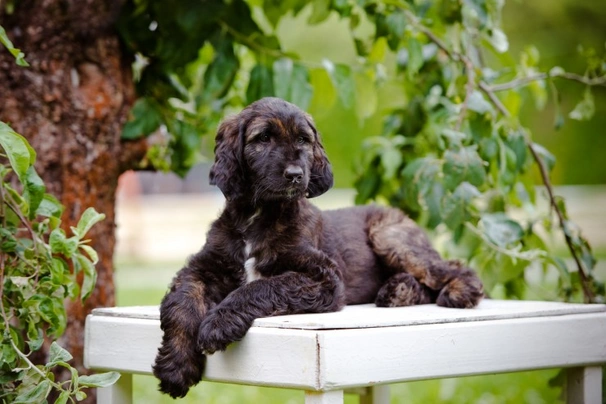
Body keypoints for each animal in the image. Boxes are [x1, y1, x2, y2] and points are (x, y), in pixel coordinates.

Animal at [152, 97, 484, 398]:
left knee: (451, 269)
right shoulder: (200, 269)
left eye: (303, 139)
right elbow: (182, 303)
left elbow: (262, 286)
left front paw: (218, 323)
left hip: (389, 236)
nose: (295, 175)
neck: (260, 216)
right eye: (263, 138)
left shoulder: (323, 277)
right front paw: (176, 367)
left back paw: (457, 292)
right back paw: (398, 291)